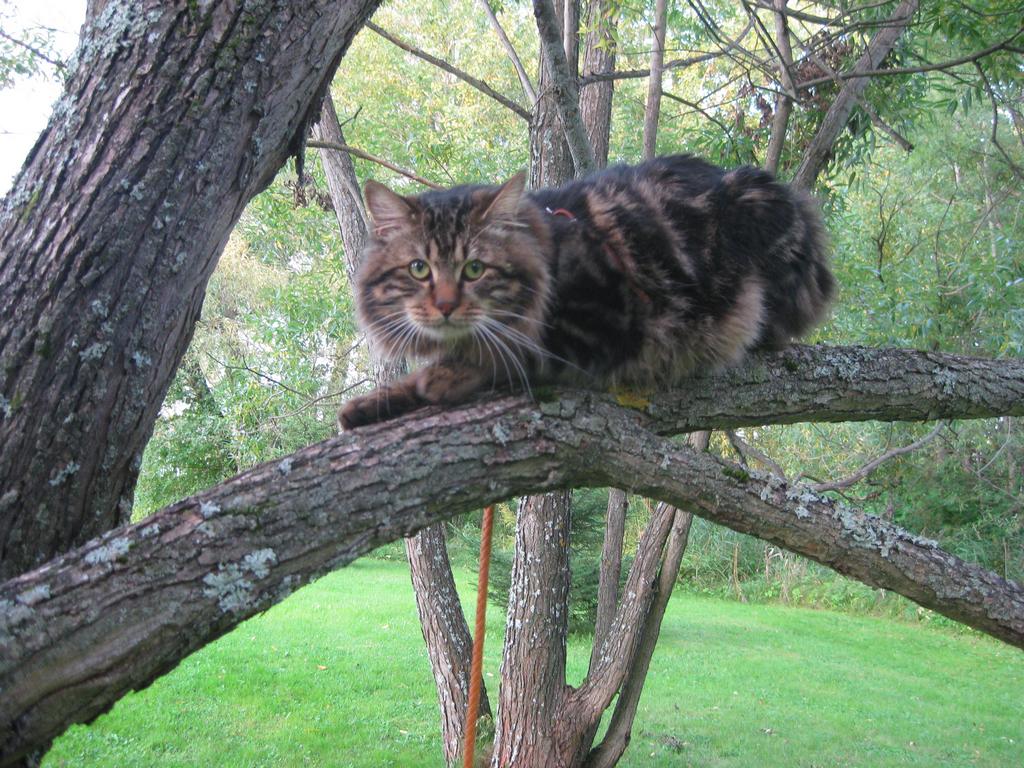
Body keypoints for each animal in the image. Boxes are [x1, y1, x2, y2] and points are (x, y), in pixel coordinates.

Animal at [339, 154, 834, 430]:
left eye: (474, 269)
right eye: (419, 269)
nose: (445, 306)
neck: (548, 251)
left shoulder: (608, 326)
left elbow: (508, 353)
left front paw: (442, 376)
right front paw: (369, 405)